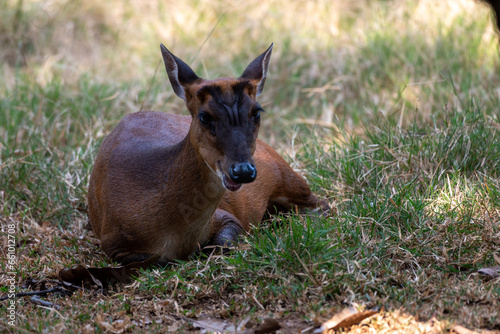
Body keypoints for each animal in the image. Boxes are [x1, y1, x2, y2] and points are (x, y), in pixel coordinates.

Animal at [87, 43, 328, 266]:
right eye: (205, 116)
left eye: (256, 112)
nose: (243, 170)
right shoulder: (113, 243)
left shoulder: (225, 216)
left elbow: (223, 242)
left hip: (284, 174)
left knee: (321, 205)